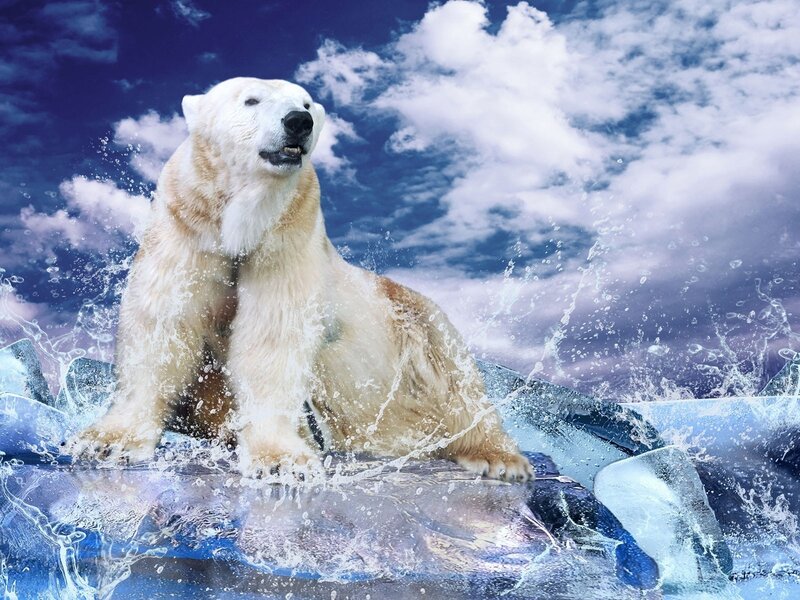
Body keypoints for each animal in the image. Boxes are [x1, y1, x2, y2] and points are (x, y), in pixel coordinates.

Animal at [67, 77, 533, 483]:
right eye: (251, 100)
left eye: (307, 103)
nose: (298, 121)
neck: (243, 224)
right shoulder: (187, 225)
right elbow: (163, 323)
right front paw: (106, 441)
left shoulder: (288, 237)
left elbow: (273, 334)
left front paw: (281, 461)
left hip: (414, 319)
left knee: (456, 378)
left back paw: (498, 458)